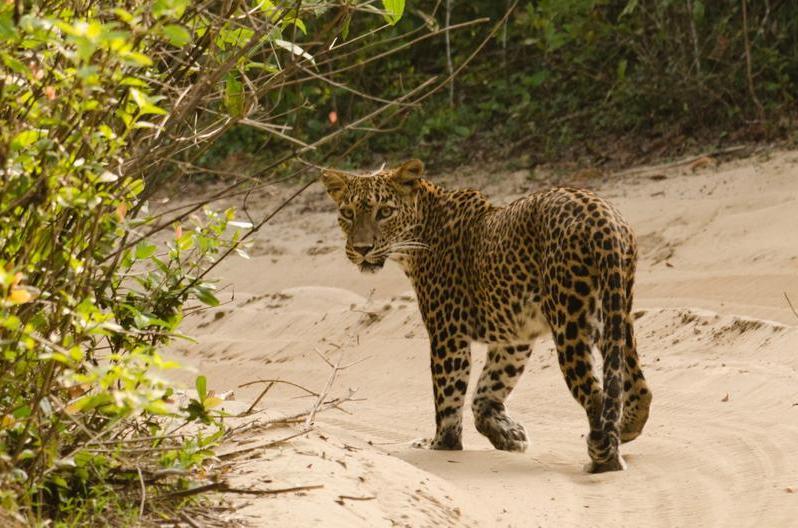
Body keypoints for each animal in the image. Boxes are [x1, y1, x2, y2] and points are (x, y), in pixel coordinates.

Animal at [322, 159, 652, 472]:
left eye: (385, 212)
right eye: (348, 213)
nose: (362, 249)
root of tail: (601, 216)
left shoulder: (448, 334)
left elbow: (448, 396)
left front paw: (442, 444)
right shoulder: (515, 337)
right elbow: (488, 388)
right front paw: (508, 434)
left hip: (570, 320)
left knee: (596, 396)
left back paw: (603, 460)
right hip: (616, 312)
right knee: (639, 389)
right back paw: (623, 432)